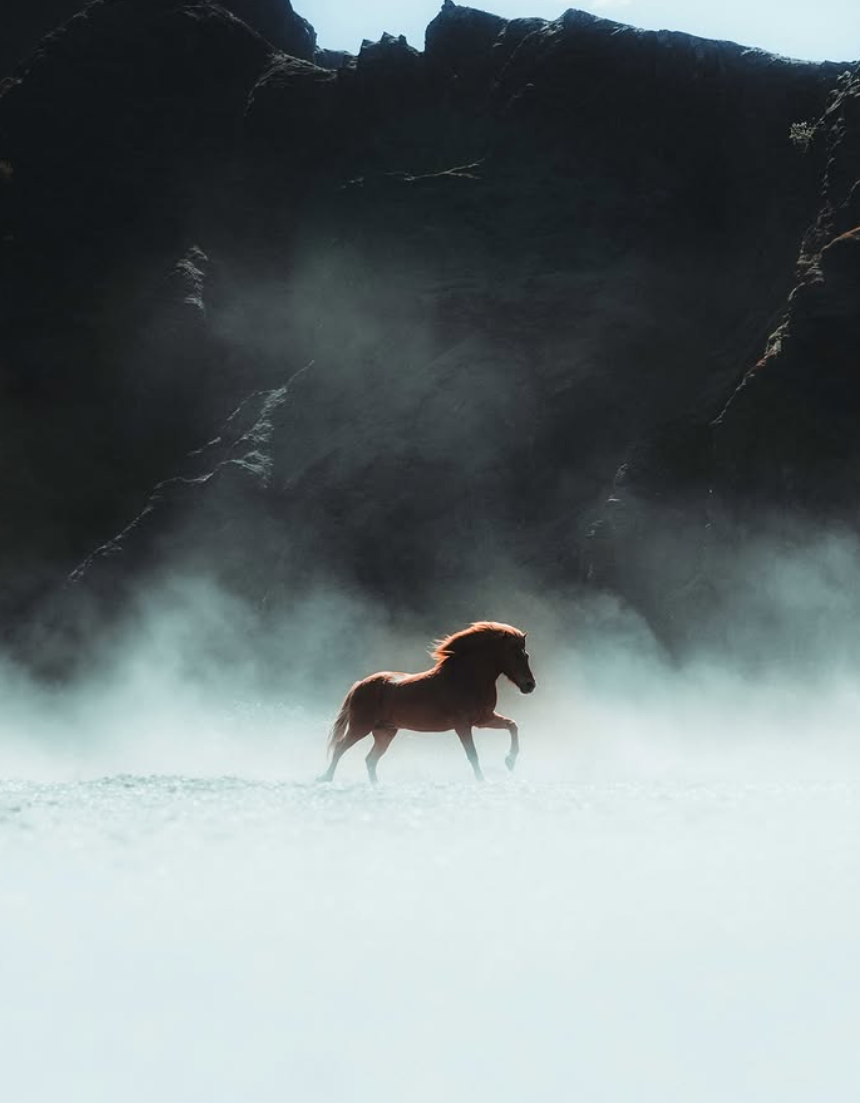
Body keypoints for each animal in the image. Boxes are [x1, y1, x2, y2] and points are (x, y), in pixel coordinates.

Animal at [317, 621, 536, 783]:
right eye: (516, 654)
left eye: (526, 654)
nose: (530, 685)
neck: (466, 678)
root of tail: (360, 684)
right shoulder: (463, 725)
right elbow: (472, 754)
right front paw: (482, 780)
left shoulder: (483, 719)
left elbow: (512, 725)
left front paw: (510, 761)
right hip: (360, 727)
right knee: (340, 747)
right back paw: (326, 778)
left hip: (385, 732)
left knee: (370, 759)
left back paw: (375, 785)